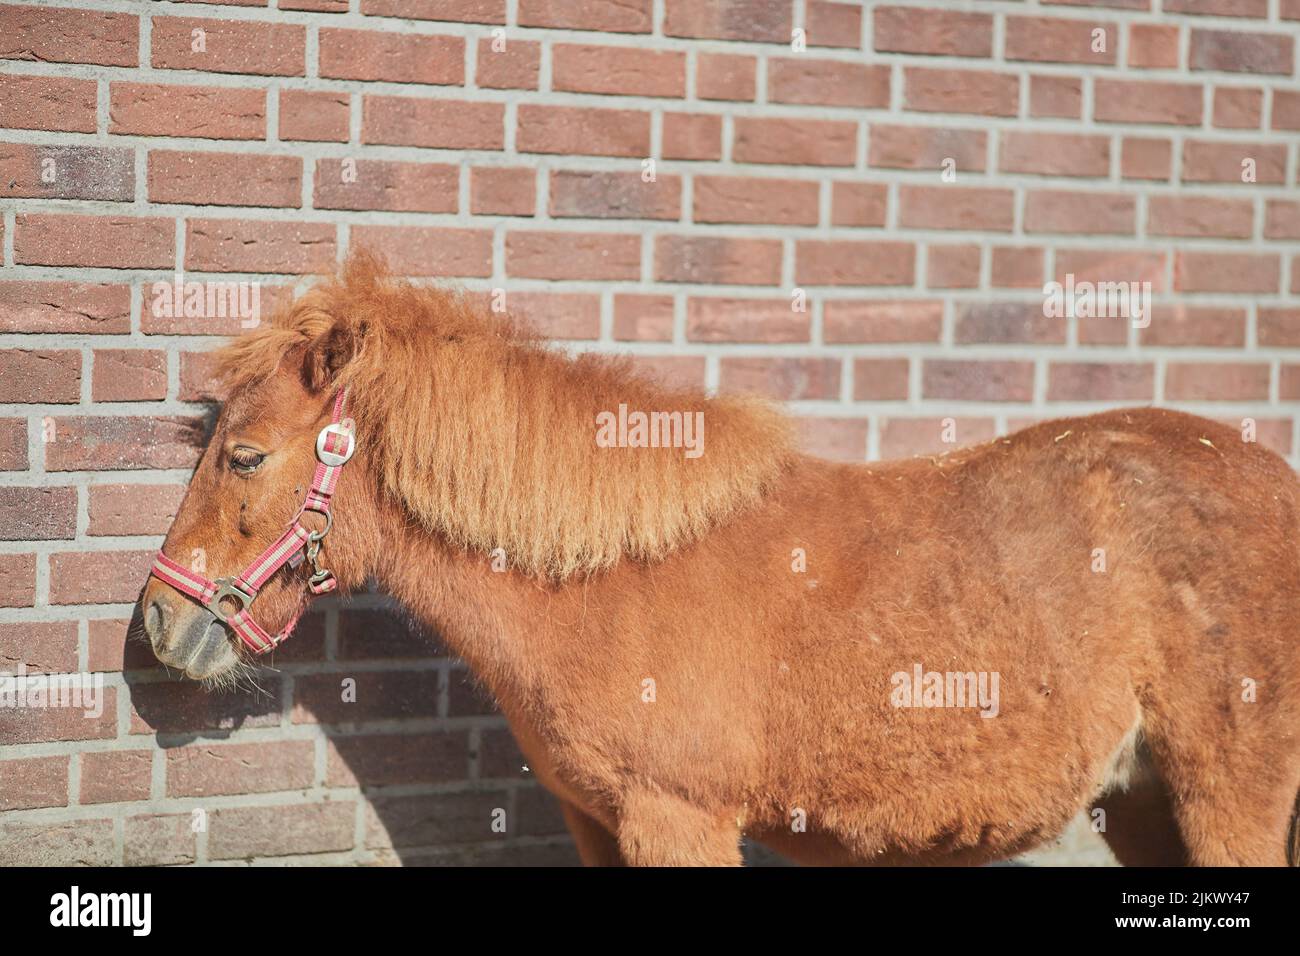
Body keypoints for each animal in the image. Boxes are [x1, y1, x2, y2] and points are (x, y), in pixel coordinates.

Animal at [139, 253, 1300, 866]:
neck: (606, 586)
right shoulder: (595, 820)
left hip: (1228, 798)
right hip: (1146, 802)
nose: (158, 619)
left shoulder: (676, 820)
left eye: (246, 454)